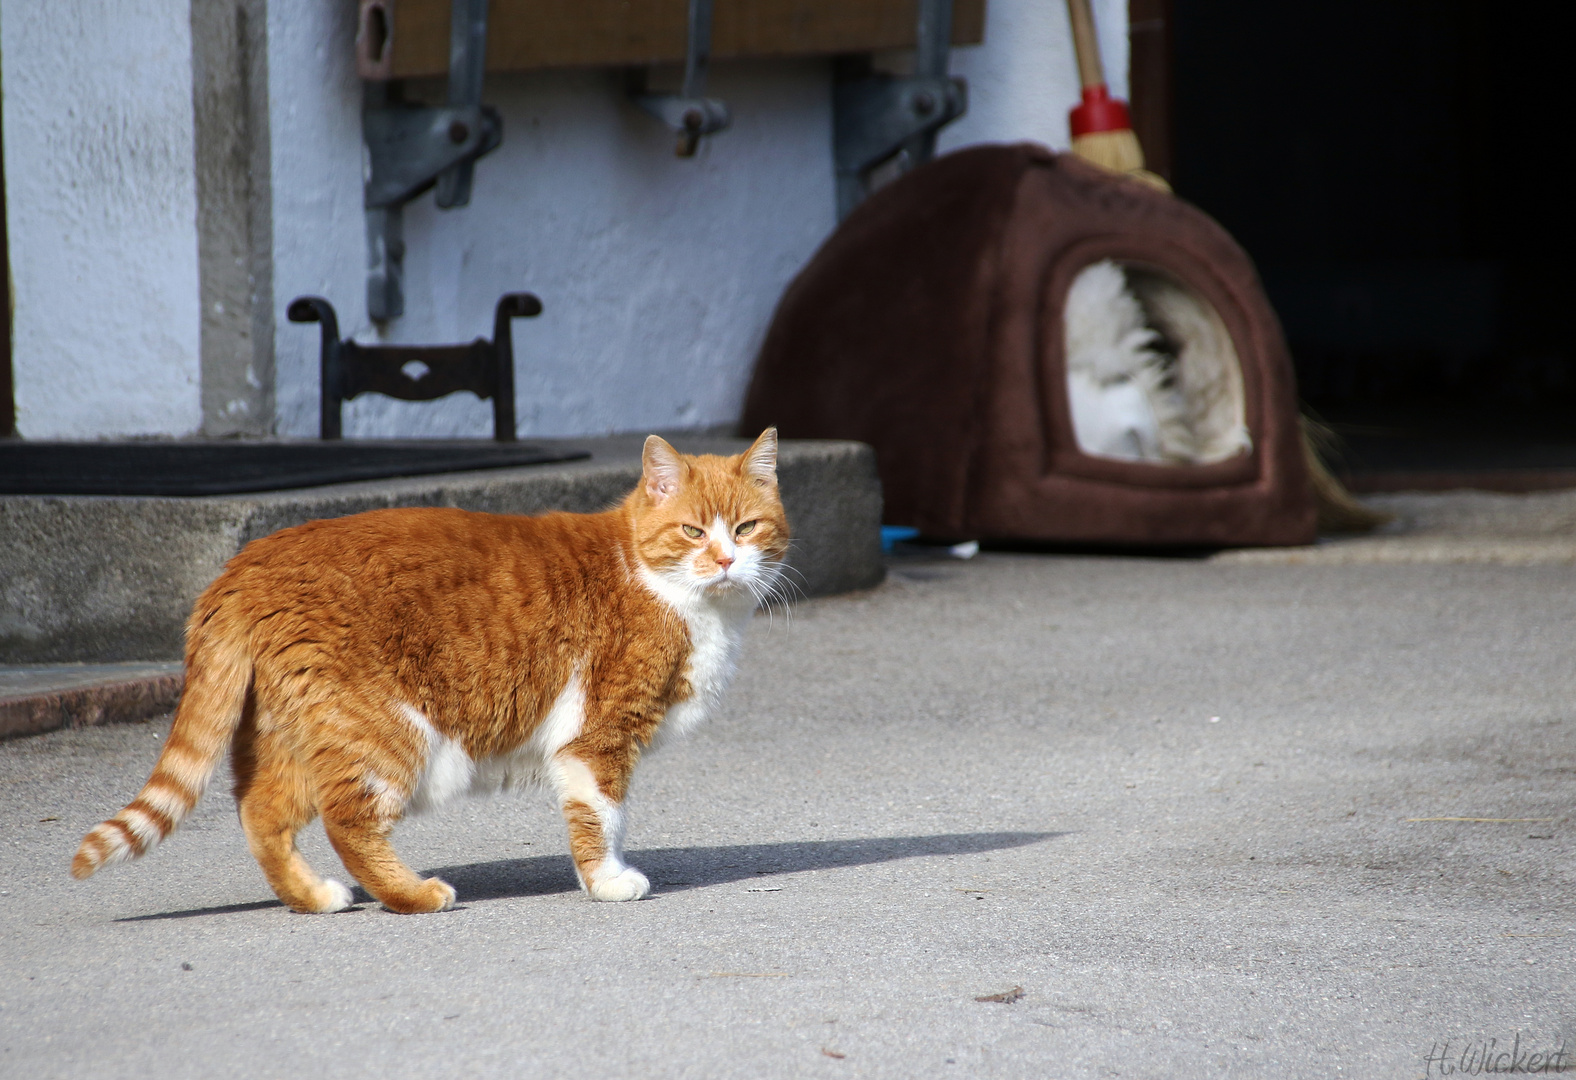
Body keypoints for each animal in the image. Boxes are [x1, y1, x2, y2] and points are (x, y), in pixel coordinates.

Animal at [74, 428, 788, 908]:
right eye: (694, 532)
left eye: (747, 528)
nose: (726, 560)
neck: (669, 589)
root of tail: (244, 564)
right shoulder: (599, 736)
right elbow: (600, 816)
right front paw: (607, 881)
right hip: (385, 732)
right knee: (347, 821)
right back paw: (415, 895)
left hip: (293, 729)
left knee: (261, 812)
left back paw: (315, 898)